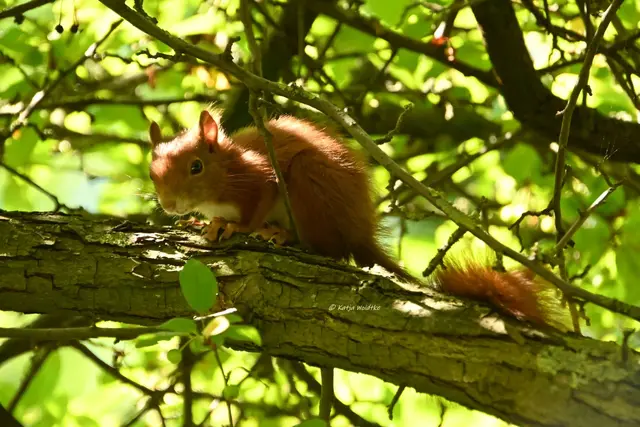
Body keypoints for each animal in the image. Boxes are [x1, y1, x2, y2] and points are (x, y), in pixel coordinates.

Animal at [148, 109, 569, 331]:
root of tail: (359, 232)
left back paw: (283, 235)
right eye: (152, 172)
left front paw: (235, 226)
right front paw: (199, 224)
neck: (229, 169)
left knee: (330, 249)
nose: (169, 204)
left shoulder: (262, 179)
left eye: (196, 167)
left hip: (307, 184)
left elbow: (252, 212)